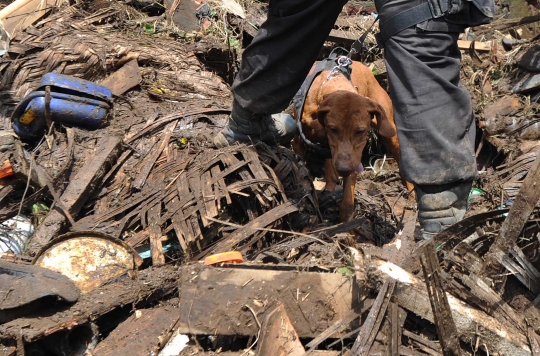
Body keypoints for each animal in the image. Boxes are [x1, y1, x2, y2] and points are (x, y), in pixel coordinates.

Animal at [294, 61, 412, 222]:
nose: (344, 169)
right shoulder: (300, 142)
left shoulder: (353, 157)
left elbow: (348, 202)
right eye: (333, 129)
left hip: (390, 132)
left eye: (360, 131)